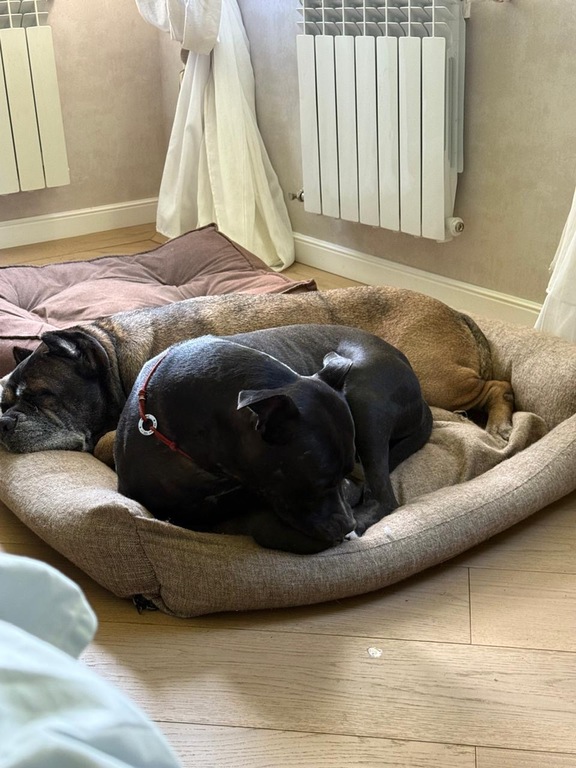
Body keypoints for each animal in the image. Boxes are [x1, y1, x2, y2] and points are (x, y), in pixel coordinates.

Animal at [0, 285, 513, 456]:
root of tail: (456, 312)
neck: (115, 355)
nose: (4, 421)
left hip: (438, 379)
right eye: (6, 397)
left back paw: (501, 423)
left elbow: (107, 439)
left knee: (499, 385)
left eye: (41, 396)